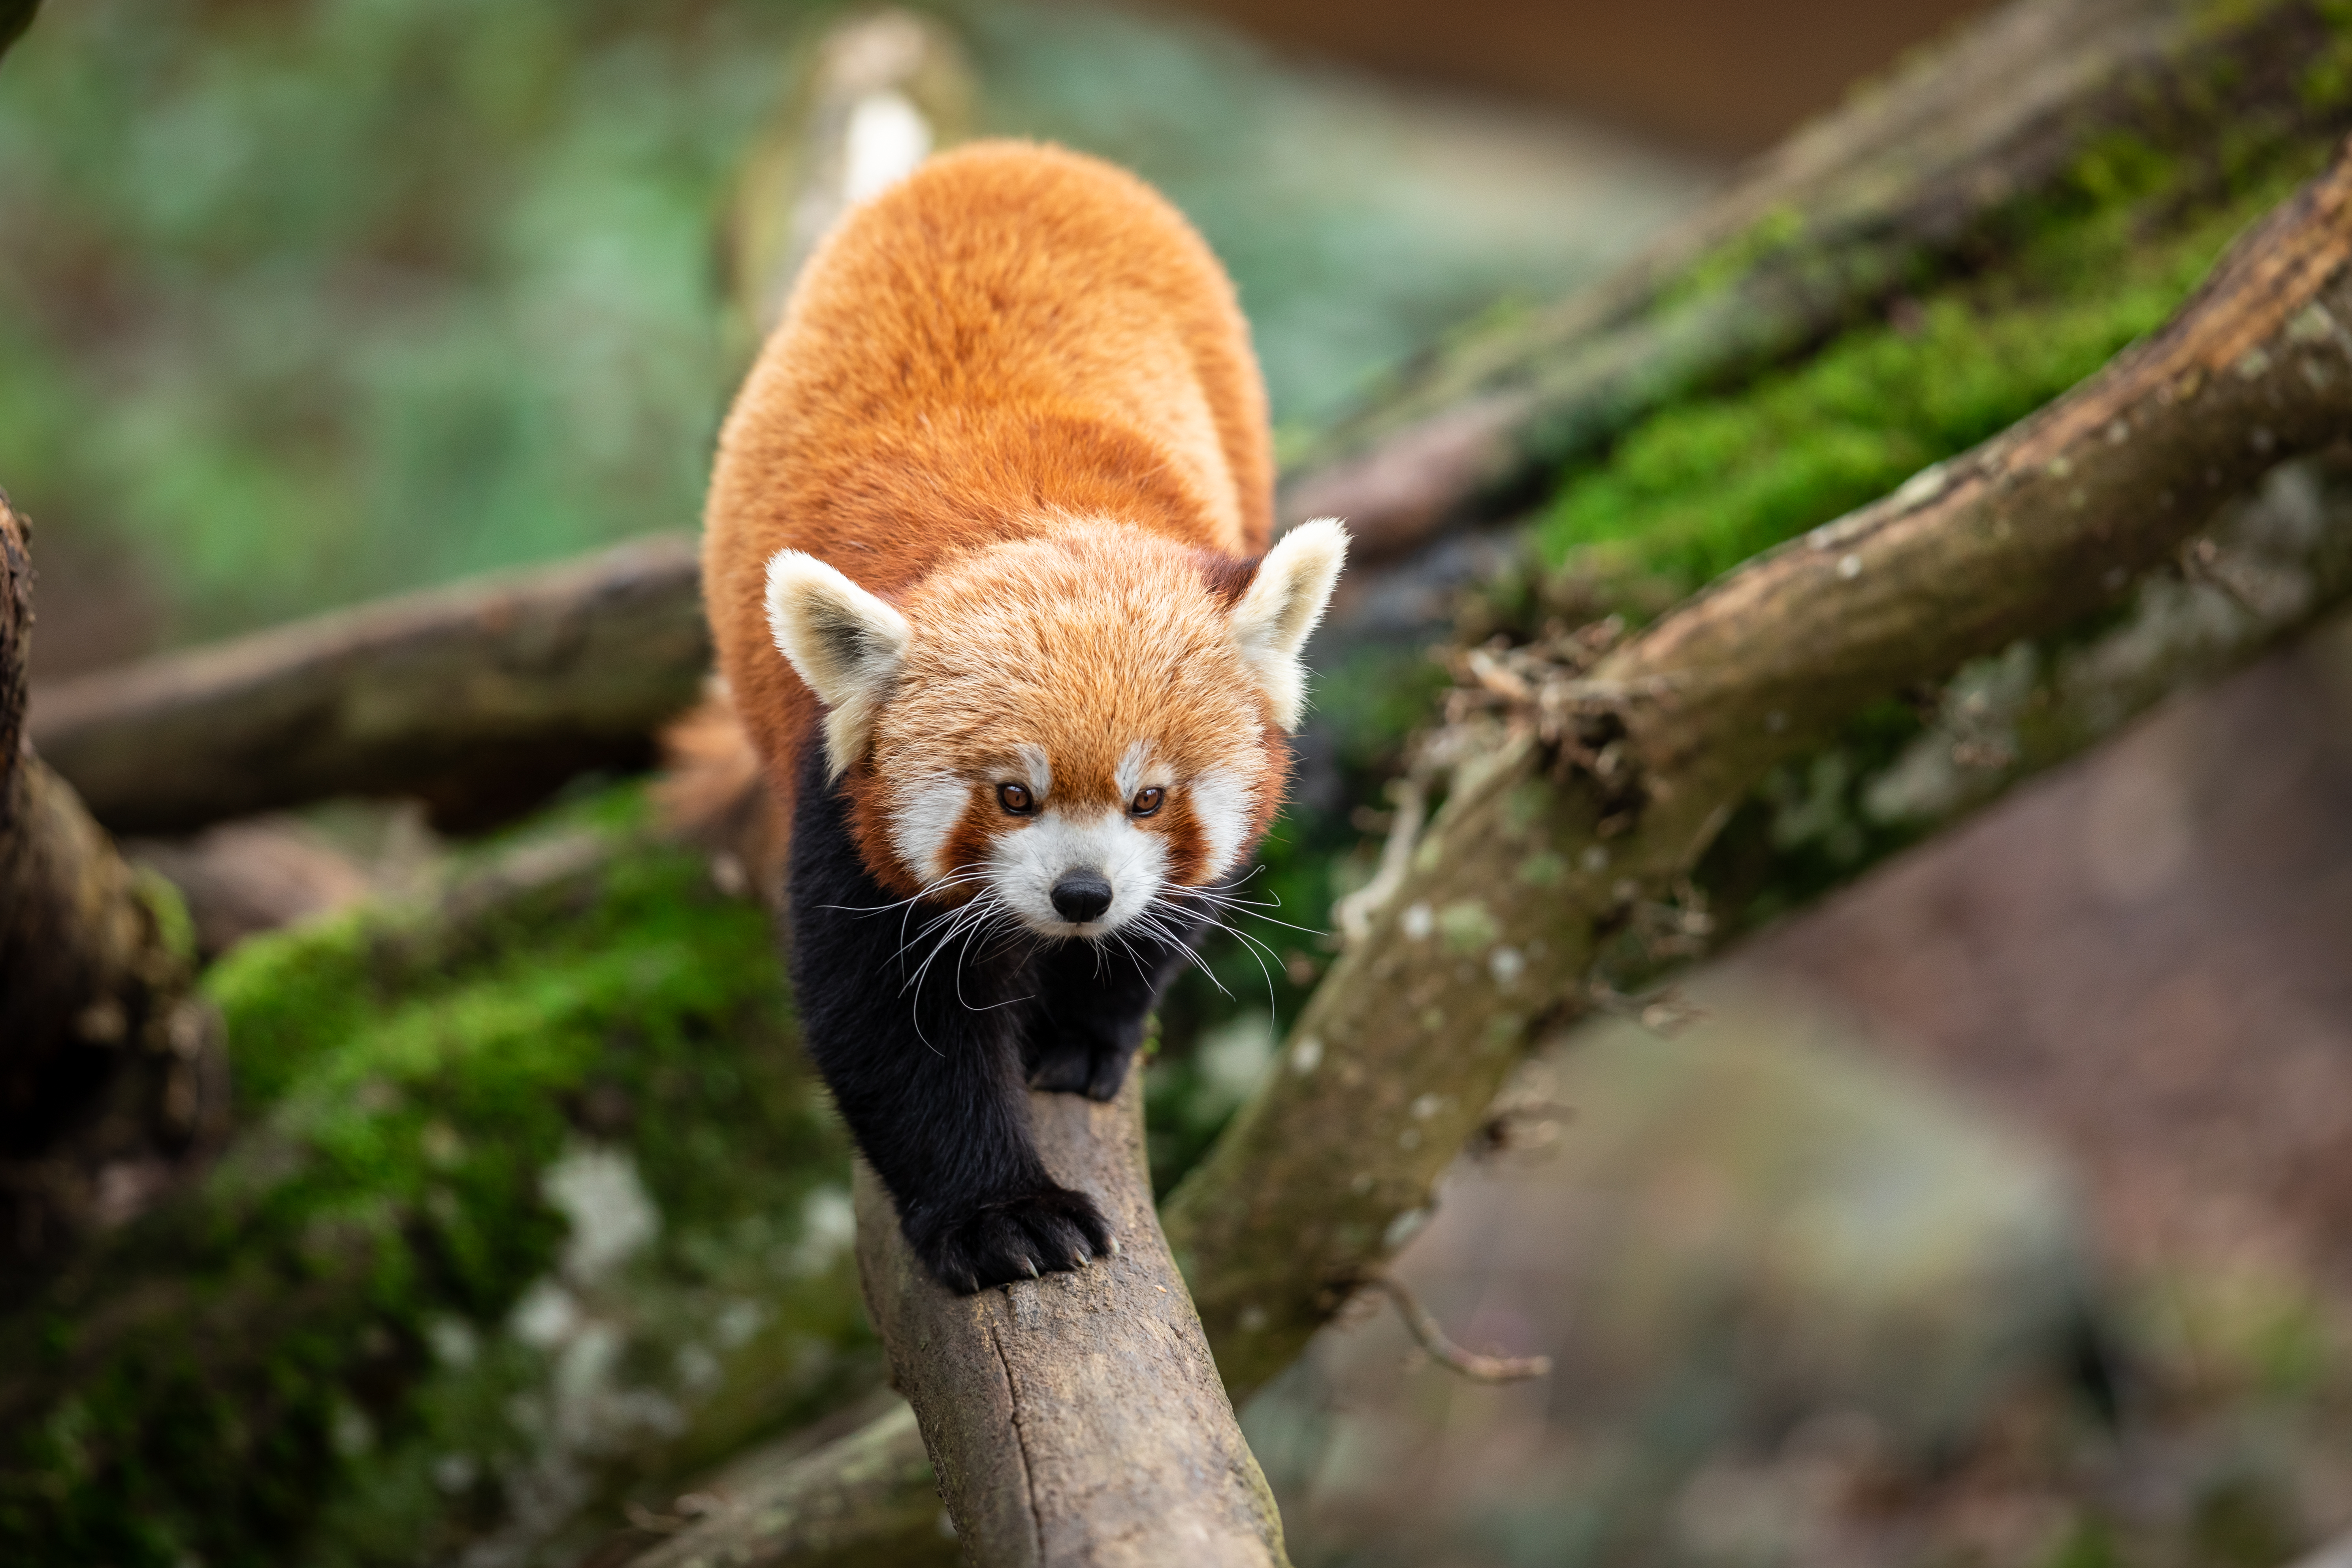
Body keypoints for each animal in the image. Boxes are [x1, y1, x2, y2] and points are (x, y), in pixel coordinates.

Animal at [696, 141, 1345, 1297]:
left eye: (1150, 798)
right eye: (1011, 795)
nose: (1082, 895)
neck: (1030, 520)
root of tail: (1017, 157)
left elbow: (1173, 911)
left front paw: (1088, 1027)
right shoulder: (843, 805)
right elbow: (893, 1029)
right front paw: (1004, 1218)